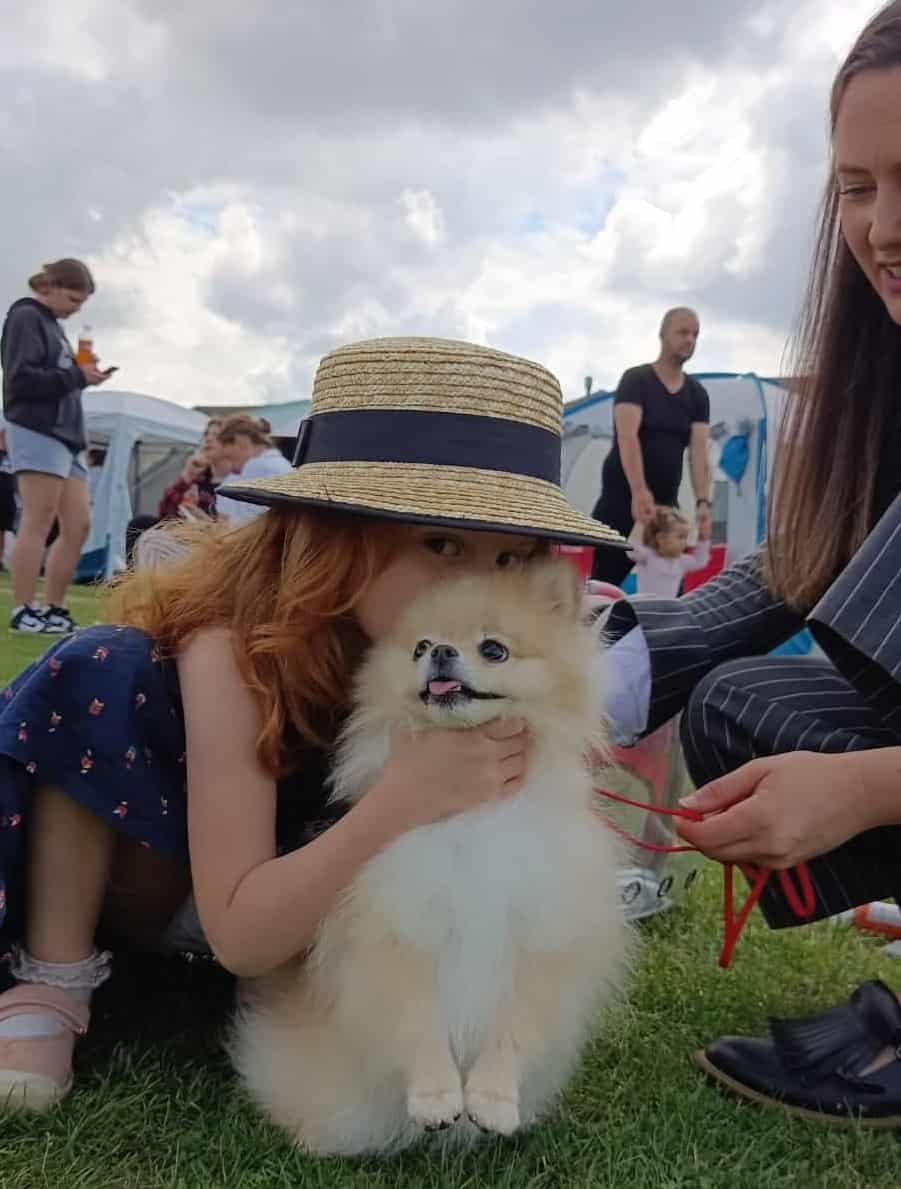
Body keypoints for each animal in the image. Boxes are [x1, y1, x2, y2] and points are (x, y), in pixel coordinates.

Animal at [230, 554, 627, 1150]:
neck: (473, 815)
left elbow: (514, 1027)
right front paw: (437, 1097)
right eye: (418, 648)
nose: (440, 652)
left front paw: (491, 1101)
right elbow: (418, 1021)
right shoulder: (399, 920)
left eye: (494, 649)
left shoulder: (541, 929)